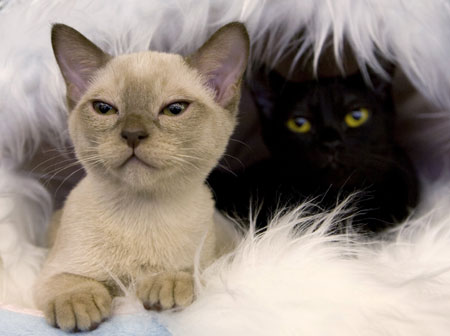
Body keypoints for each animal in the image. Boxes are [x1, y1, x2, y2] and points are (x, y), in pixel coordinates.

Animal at [34, 23, 250, 330]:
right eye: (104, 109)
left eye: (174, 109)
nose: (133, 134)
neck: (141, 211)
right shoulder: (54, 271)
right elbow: (72, 284)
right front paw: (79, 307)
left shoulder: (211, 265)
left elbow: (187, 273)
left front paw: (166, 286)